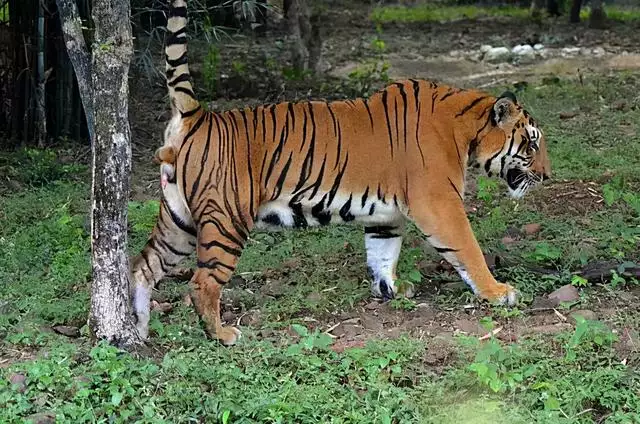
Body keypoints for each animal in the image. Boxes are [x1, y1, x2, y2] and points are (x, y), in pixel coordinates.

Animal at [130, 0, 552, 344]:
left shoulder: (386, 216)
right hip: (226, 220)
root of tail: (196, 115)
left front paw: (390, 290)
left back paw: (136, 331)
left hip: (178, 222)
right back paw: (222, 334)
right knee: (201, 282)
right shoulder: (440, 204)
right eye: (531, 144)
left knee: (141, 268)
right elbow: (469, 249)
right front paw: (498, 291)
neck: (464, 129)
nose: (547, 175)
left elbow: (382, 254)